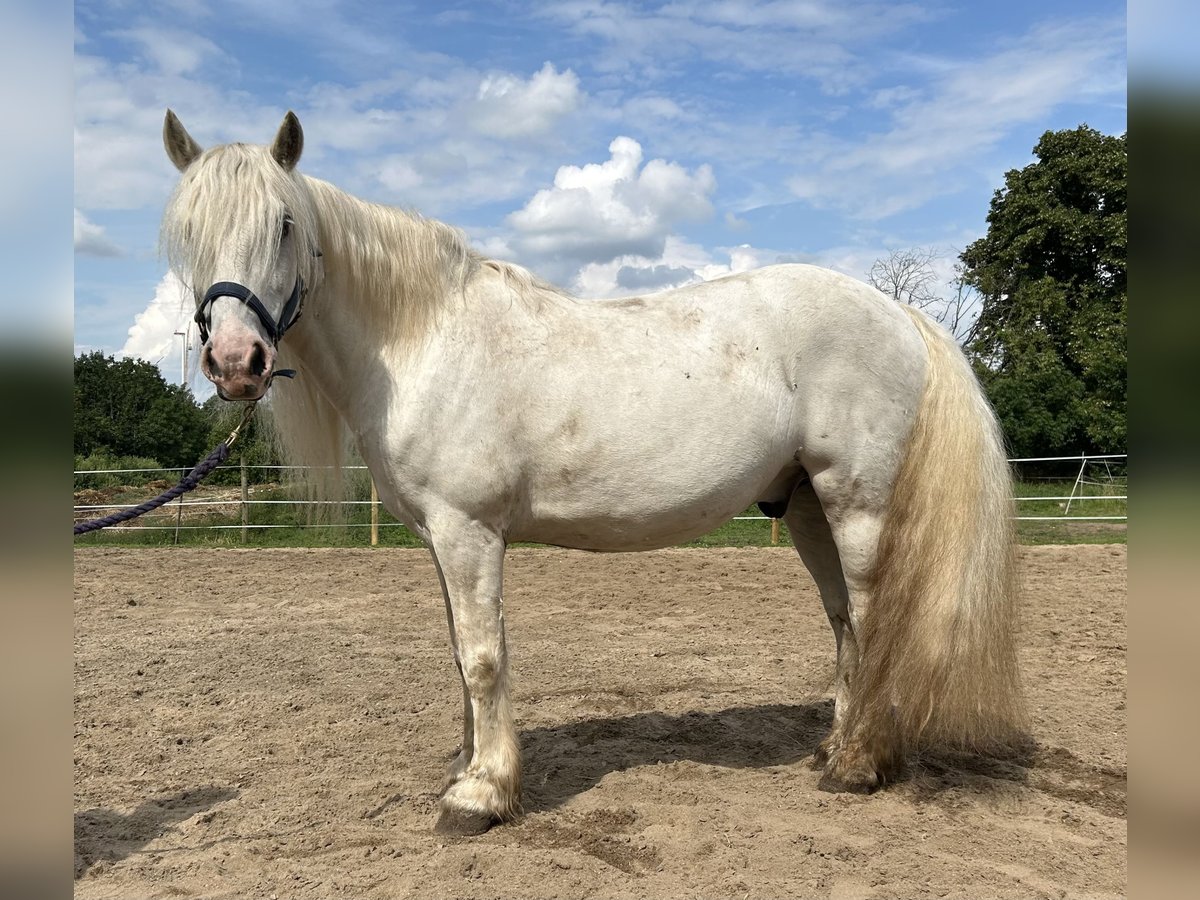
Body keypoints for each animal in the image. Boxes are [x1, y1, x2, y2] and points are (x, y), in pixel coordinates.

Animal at [160, 110, 1025, 836]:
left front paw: (481, 797)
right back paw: (833, 747)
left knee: (873, 621)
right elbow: (460, 655)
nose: (235, 362)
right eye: (188, 234)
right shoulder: (441, 540)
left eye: (284, 224)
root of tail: (897, 313)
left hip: (858, 503)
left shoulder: (469, 532)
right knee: (844, 622)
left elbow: (484, 658)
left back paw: (857, 766)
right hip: (809, 505)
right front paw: (468, 767)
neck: (425, 340)